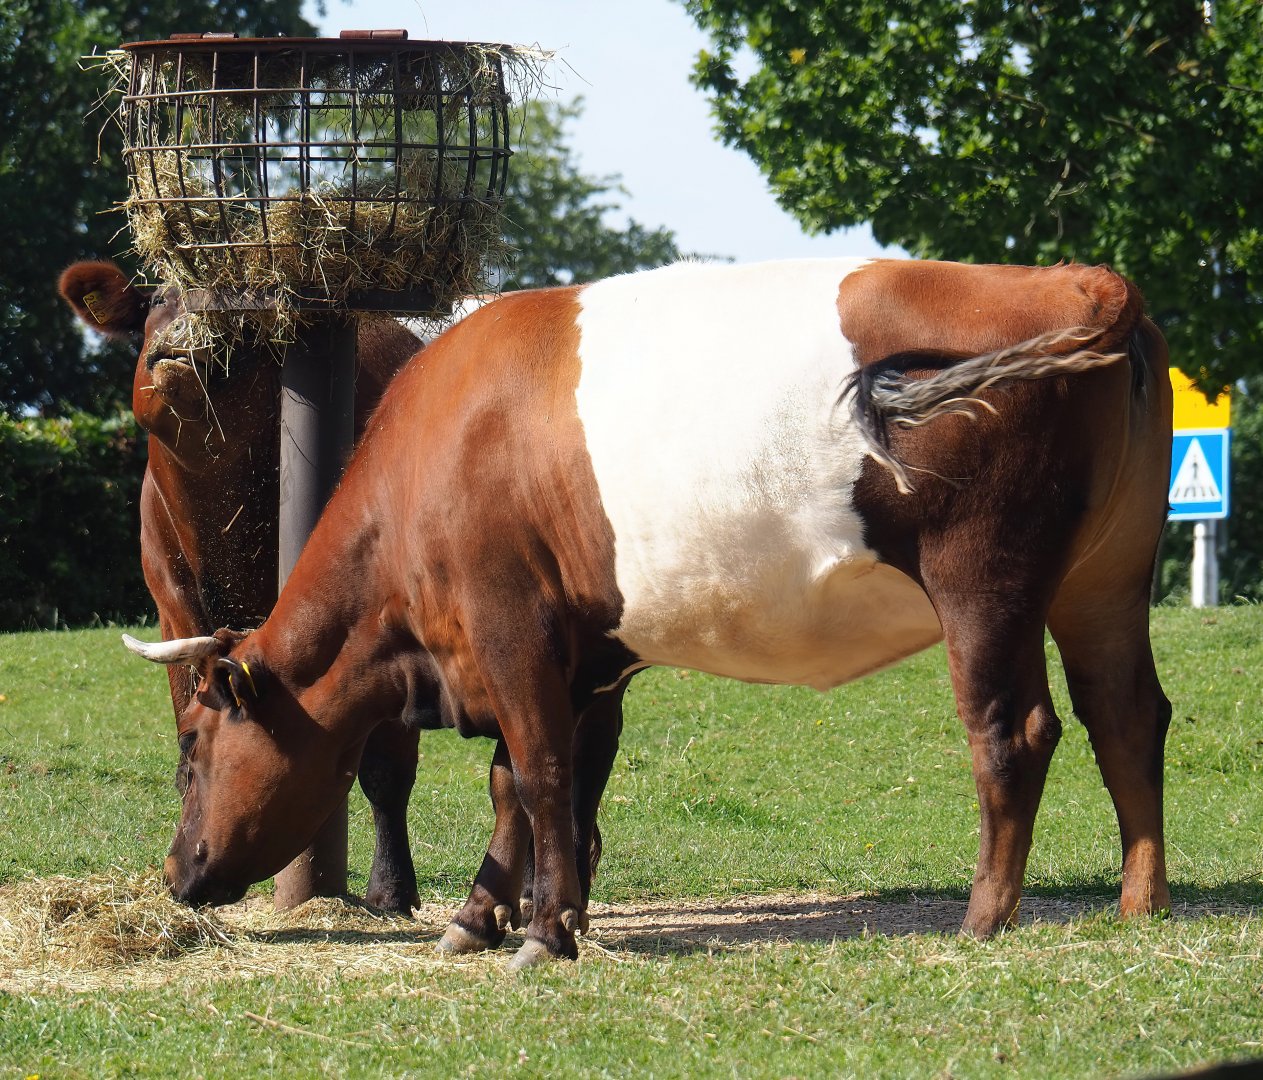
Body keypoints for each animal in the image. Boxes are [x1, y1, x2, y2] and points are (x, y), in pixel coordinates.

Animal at [122, 257, 1175, 969]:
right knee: (1126, 716)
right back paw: (1142, 901)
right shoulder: (584, 657)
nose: (176, 875)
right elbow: (524, 786)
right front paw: (494, 914)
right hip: (1104, 580)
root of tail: (1076, 281)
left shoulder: (510, 630)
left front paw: (541, 932)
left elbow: (540, 776)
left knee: (1013, 732)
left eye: (190, 752)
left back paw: (984, 916)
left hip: (983, 579)